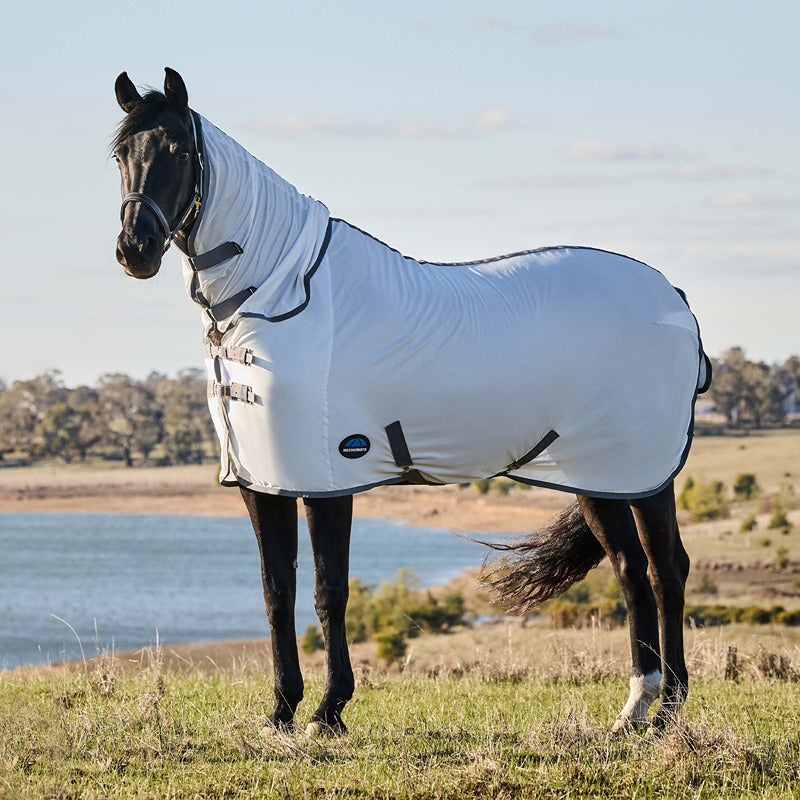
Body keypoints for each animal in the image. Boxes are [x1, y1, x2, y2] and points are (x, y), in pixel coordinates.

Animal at [112, 68, 709, 735]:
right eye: (120, 155)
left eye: (176, 151)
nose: (134, 250)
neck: (276, 292)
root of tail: (674, 297)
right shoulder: (262, 480)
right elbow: (275, 591)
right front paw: (281, 711)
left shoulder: (328, 478)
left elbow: (328, 590)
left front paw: (328, 711)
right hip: (598, 475)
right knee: (630, 571)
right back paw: (634, 710)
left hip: (645, 474)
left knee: (664, 569)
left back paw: (667, 710)